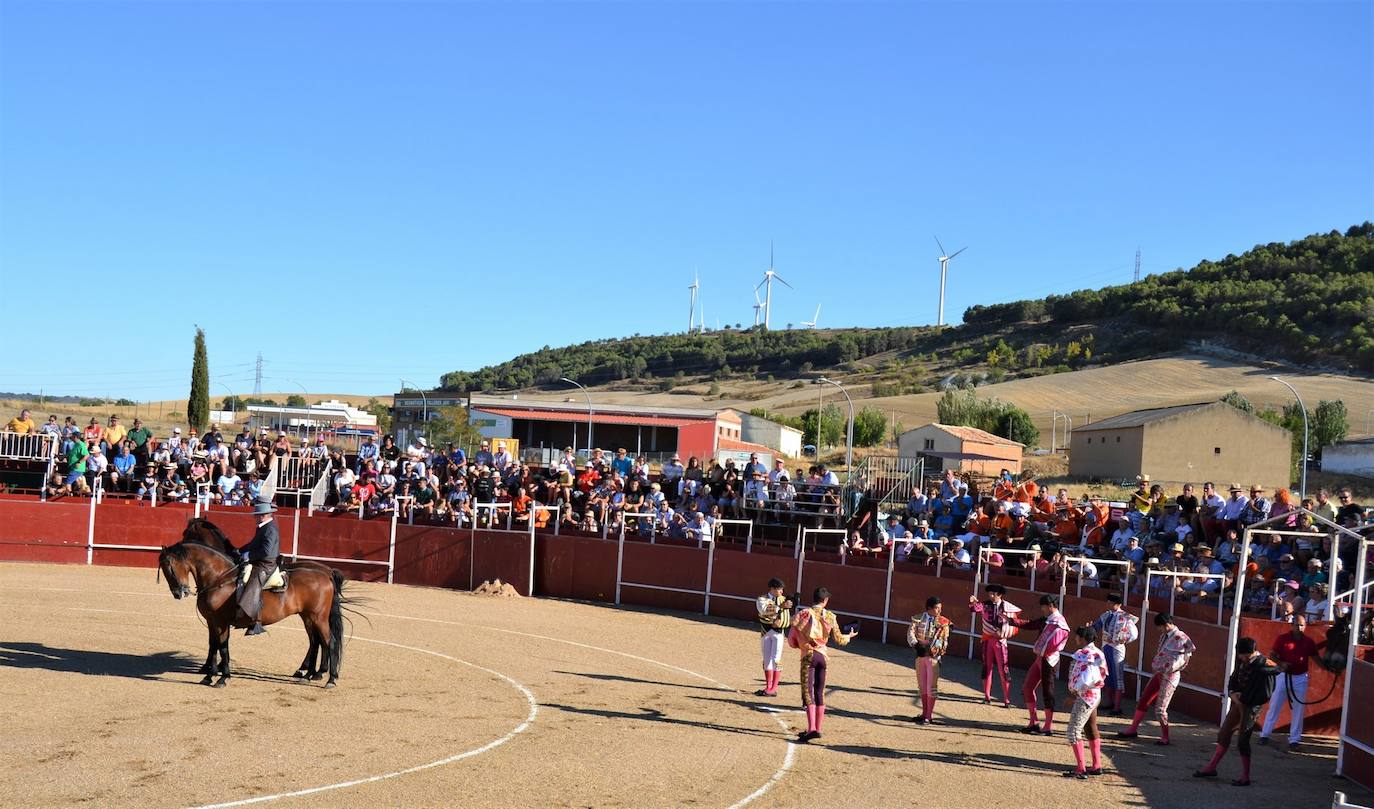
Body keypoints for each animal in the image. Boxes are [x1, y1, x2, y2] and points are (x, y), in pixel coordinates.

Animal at [157, 538, 343, 684]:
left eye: (169, 566)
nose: (179, 593)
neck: (219, 578)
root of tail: (326, 575)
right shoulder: (212, 621)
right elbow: (213, 645)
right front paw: (209, 676)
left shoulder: (221, 622)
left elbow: (222, 646)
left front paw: (223, 677)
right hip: (308, 617)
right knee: (316, 642)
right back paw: (309, 675)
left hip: (318, 618)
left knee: (330, 642)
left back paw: (330, 679)